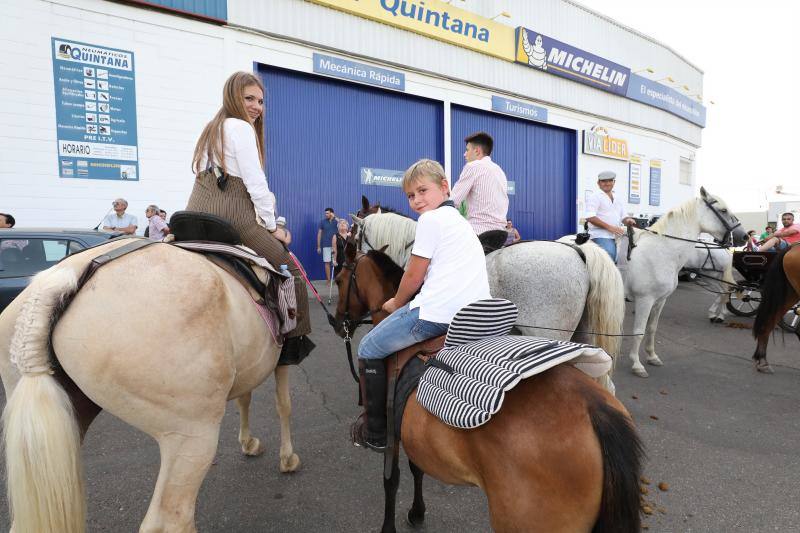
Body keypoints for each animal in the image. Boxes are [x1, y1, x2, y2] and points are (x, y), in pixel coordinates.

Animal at [0, 240, 300, 532]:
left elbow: (245, 400)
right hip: (191, 435)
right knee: (170, 519)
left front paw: (248, 443)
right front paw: (287, 459)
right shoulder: (283, 362)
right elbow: (283, 405)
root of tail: (58, 282)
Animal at [332, 239, 644, 532]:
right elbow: (416, 468)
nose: (336, 323)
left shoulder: (393, 433)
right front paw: (417, 512)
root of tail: (597, 410)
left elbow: (391, 481)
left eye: (339, 279)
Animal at [620, 189, 748, 376]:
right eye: (723, 210)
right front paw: (637, 364)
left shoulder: (659, 300)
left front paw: (651, 356)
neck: (661, 251)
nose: (744, 236)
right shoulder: (645, 299)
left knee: (723, 291)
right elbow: (639, 331)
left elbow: (652, 328)